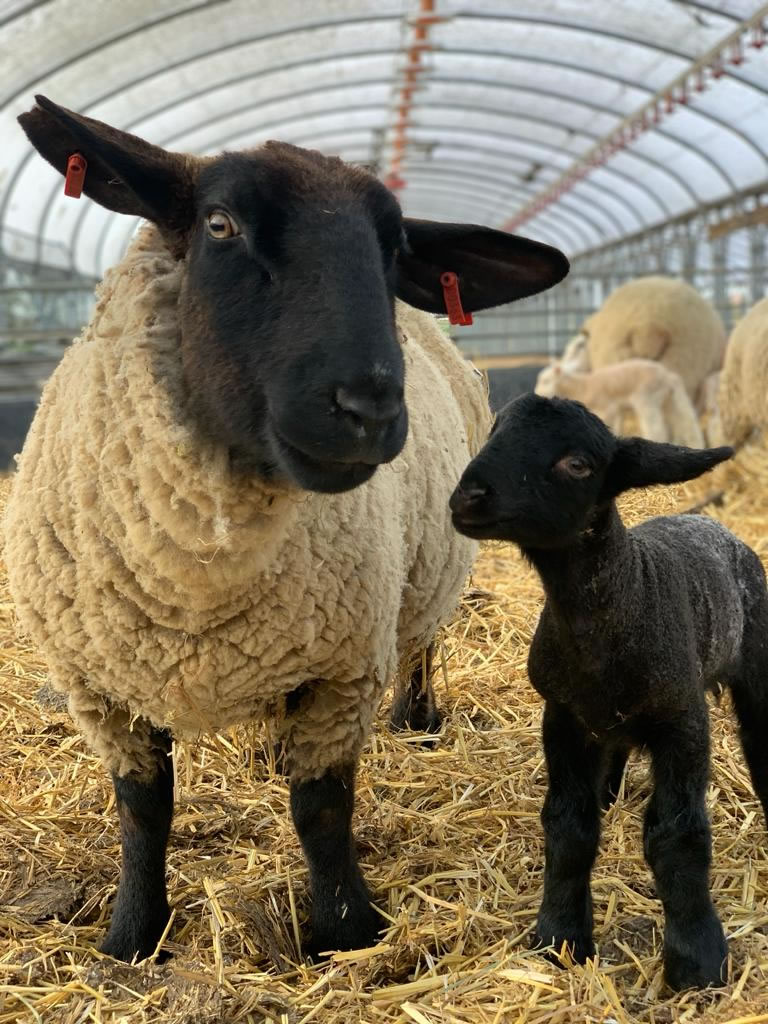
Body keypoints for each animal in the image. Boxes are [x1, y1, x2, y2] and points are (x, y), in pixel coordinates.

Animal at [3, 95, 569, 963]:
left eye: (394, 249)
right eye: (221, 225)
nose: (369, 408)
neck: (199, 578)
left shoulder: (343, 667)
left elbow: (321, 810)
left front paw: (344, 931)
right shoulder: (99, 689)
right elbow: (143, 811)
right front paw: (132, 935)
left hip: (424, 578)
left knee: (419, 645)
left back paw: (417, 721)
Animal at [450, 393, 768, 991]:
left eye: (577, 464)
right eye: (495, 430)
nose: (468, 496)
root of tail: (710, 524)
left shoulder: (682, 720)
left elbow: (677, 836)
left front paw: (697, 959)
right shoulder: (563, 716)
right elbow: (569, 826)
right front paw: (559, 937)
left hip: (757, 667)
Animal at [534, 359, 704, 448]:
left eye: (546, 380)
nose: (536, 393)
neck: (583, 387)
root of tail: (668, 376)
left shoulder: (608, 408)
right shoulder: (618, 409)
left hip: (647, 398)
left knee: (657, 428)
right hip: (668, 400)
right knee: (684, 421)